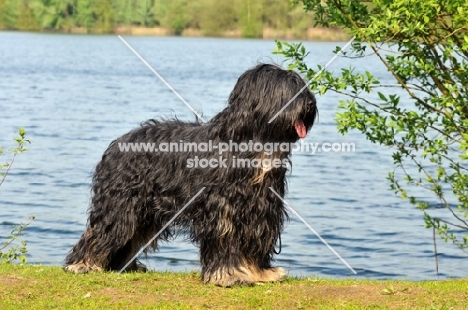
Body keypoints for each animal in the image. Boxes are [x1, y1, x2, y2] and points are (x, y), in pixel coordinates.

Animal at [64, 63, 316, 286]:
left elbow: (255, 240)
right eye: (289, 88)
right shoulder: (221, 207)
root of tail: (117, 143)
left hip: (145, 211)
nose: (311, 103)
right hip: (121, 203)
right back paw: (82, 264)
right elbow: (223, 240)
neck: (253, 143)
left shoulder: (261, 207)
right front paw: (227, 276)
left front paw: (261, 273)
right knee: (102, 231)